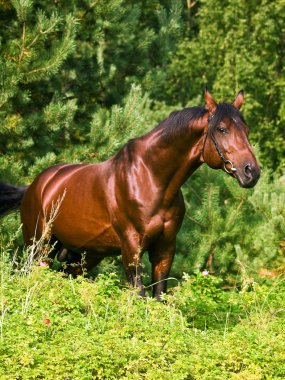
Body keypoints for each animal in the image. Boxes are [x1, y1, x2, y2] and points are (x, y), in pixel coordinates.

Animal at [0, 90, 260, 298]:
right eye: (222, 129)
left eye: (246, 130)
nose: (251, 172)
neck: (151, 178)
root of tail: (36, 186)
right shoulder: (131, 247)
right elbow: (139, 296)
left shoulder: (165, 249)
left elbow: (159, 298)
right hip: (38, 246)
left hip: (82, 255)